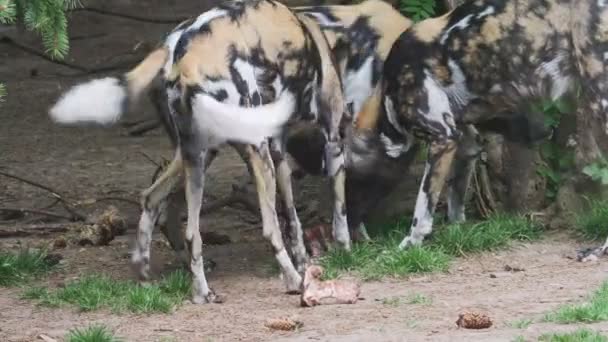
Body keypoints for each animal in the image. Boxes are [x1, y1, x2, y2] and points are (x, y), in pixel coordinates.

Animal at [47, 0, 350, 304]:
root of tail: (179, 51)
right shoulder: (328, 142)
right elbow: (336, 212)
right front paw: (342, 250)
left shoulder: (278, 153)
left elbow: (292, 218)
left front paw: (304, 260)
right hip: (250, 148)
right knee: (267, 227)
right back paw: (293, 281)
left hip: (197, 156)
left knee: (167, 210)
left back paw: (171, 281)